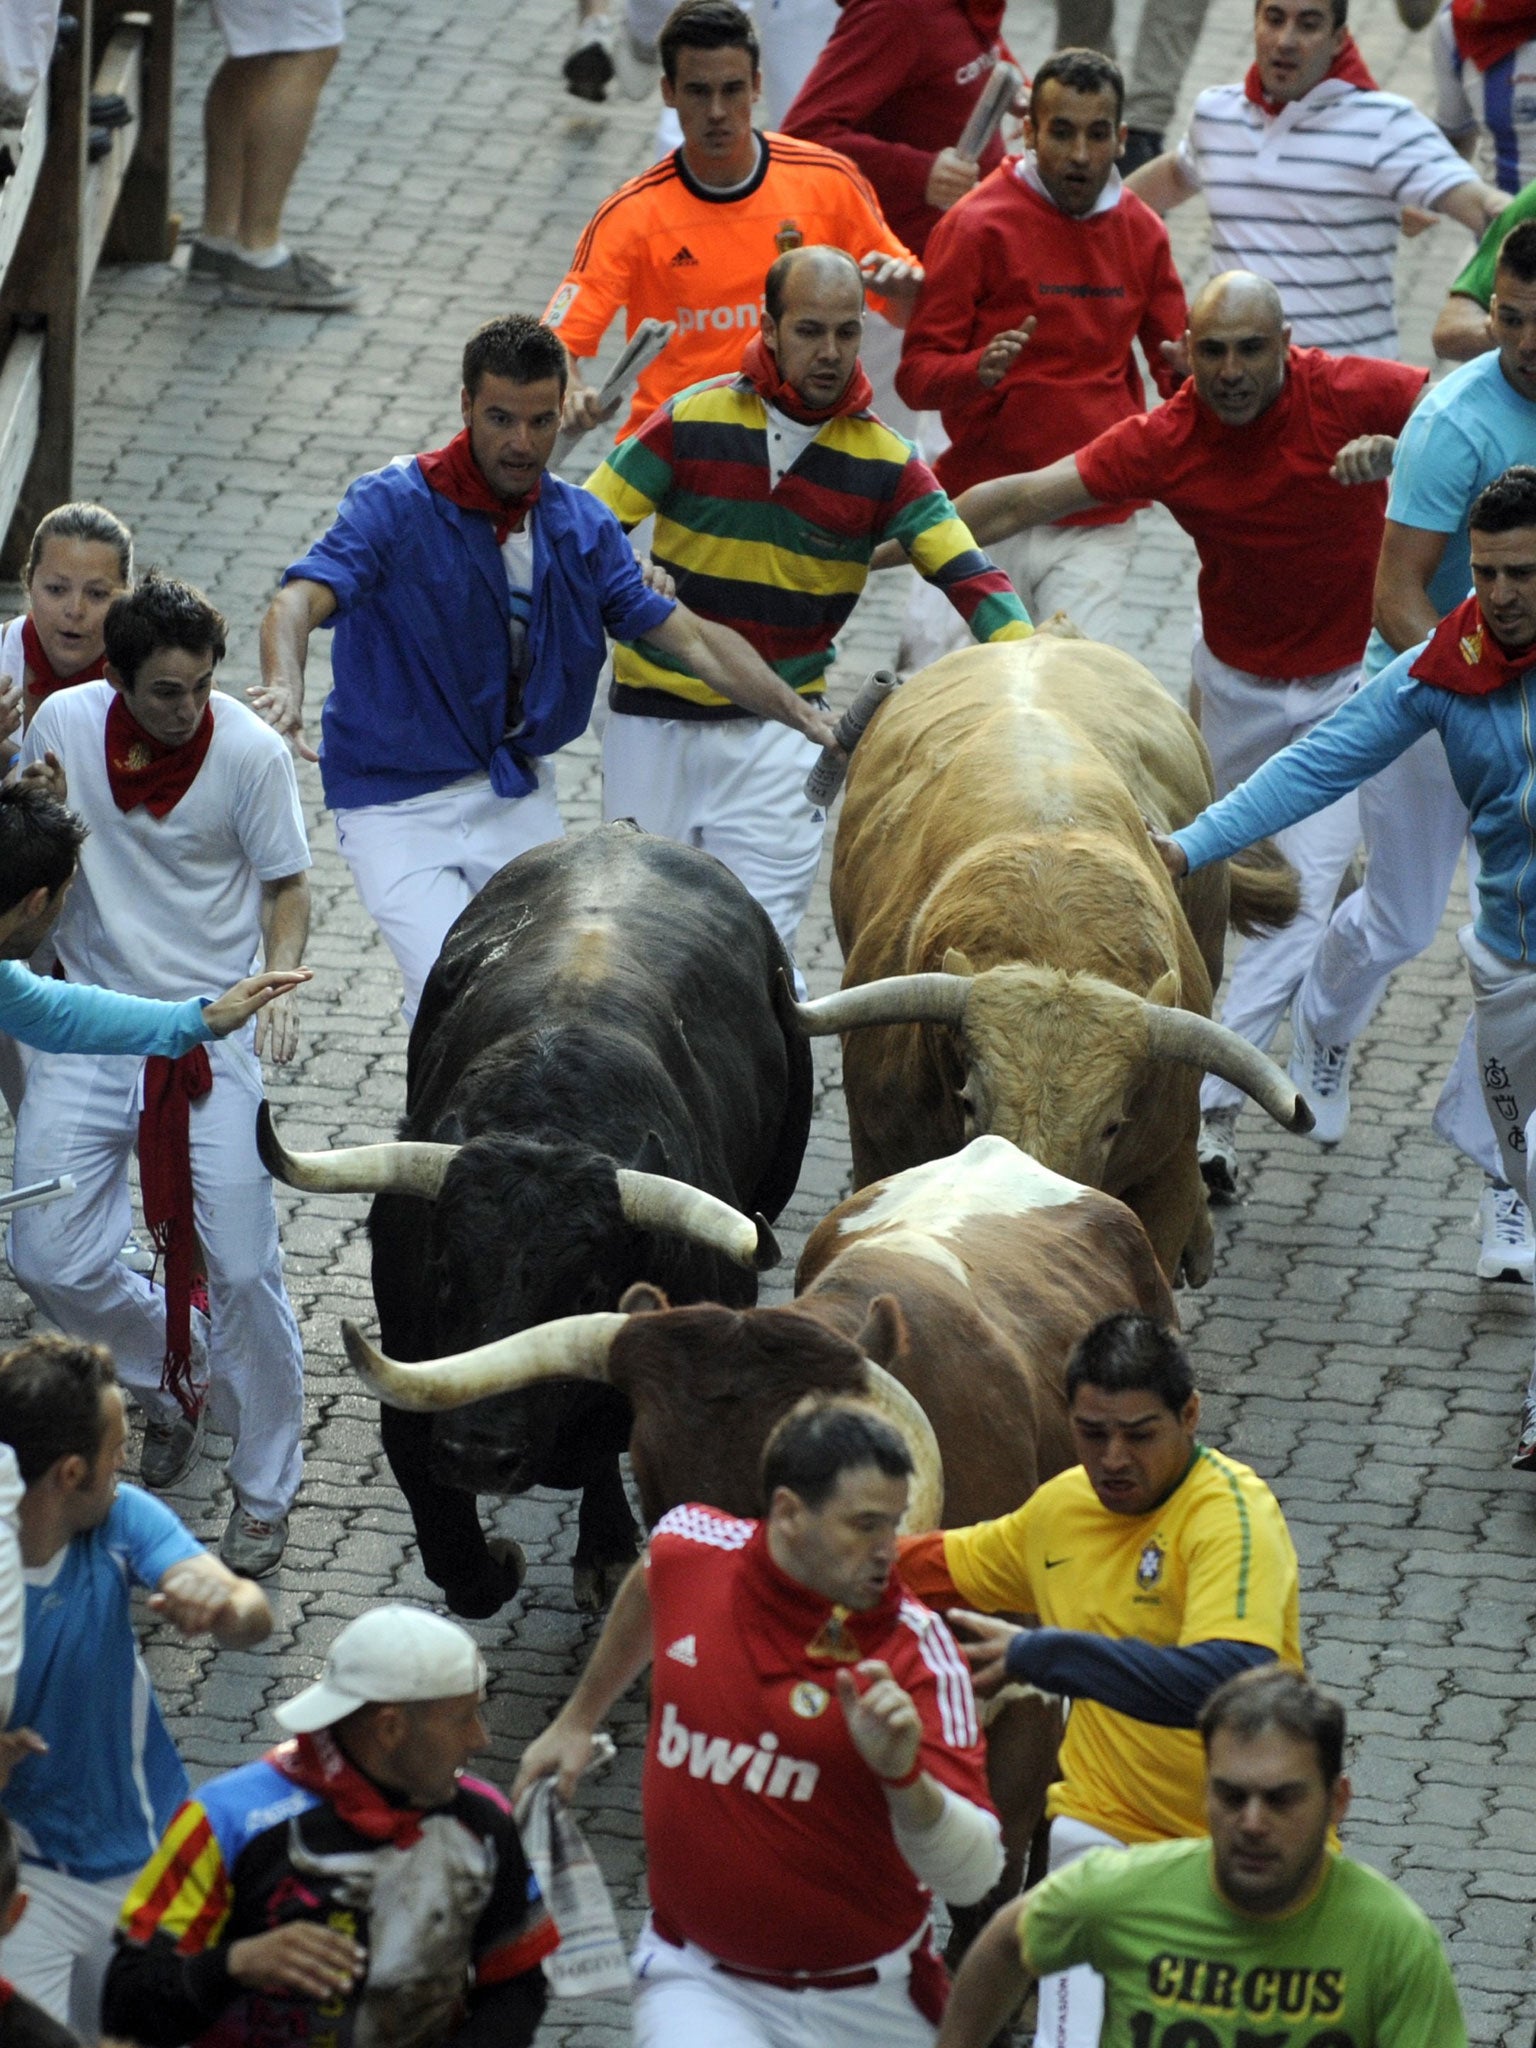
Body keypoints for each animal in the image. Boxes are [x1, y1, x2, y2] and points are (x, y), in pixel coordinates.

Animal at [262, 823, 819, 1605]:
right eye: (443, 1271)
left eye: (586, 1288)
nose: (479, 1453)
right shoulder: (410, 1389)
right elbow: (457, 1560)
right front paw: (504, 1561)